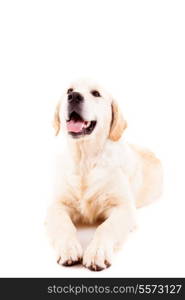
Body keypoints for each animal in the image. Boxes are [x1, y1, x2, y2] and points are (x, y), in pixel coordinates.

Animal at [45, 78, 163, 270]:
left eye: (96, 93)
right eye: (69, 90)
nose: (74, 96)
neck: (85, 160)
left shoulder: (124, 208)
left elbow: (106, 227)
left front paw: (96, 252)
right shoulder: (57, 205)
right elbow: (63, 225)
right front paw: (68, 248)